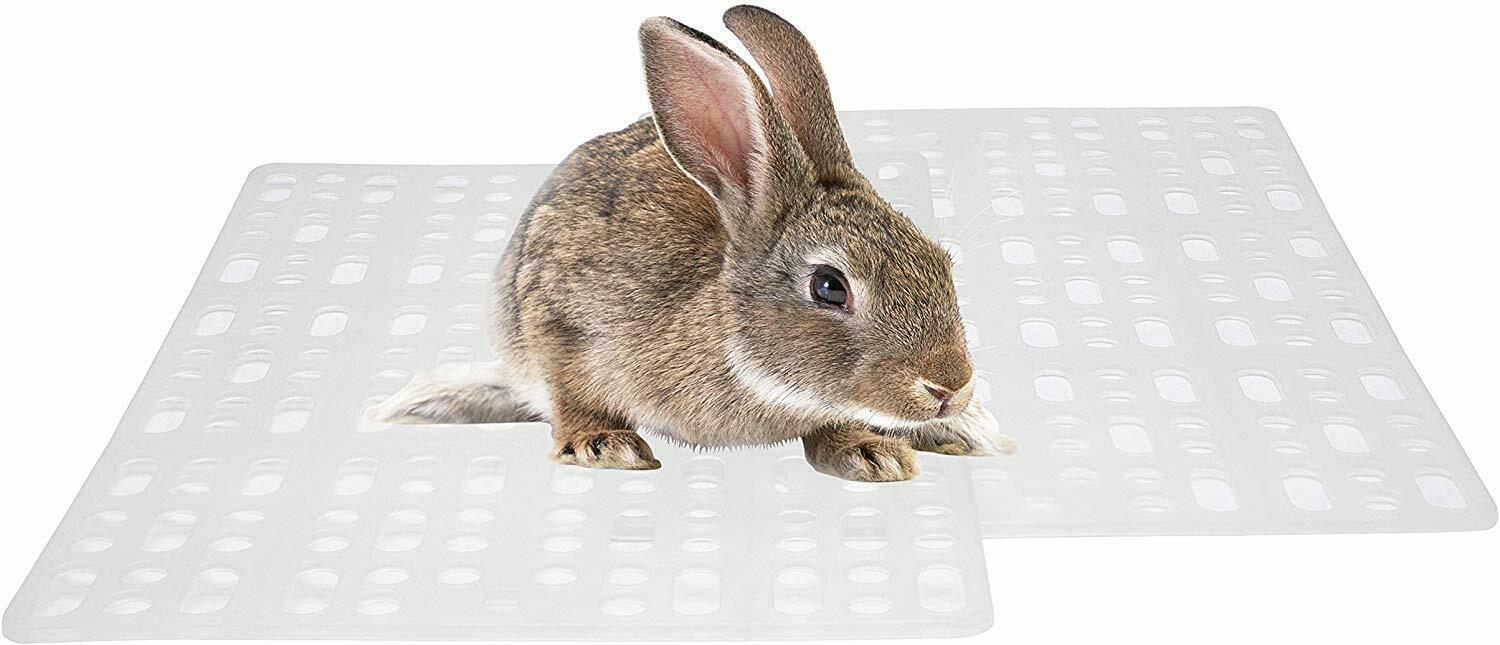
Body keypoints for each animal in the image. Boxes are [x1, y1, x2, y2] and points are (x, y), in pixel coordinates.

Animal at [369, 4, 1016, 481]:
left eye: (942, 261)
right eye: (830, 287)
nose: (950, 387)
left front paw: (871, 452)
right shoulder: (557, 319)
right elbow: (571, 394)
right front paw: (603, 445)